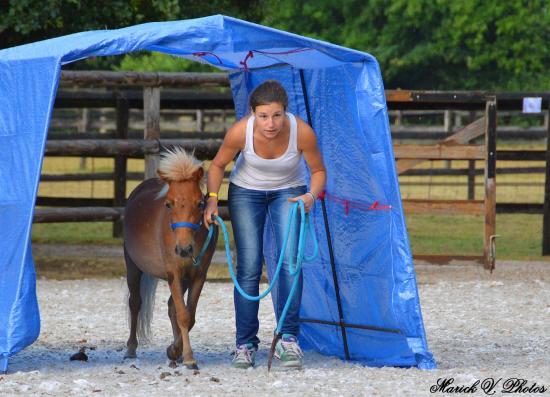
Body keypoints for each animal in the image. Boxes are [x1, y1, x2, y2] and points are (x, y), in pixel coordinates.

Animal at [124, 148, 219, 368]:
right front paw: (187, 356)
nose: (184, 249)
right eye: (168, 204)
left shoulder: (198, 275)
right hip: (133, 266)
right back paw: (131, 349)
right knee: (135, 303)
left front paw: (177, 351)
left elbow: (188, 315)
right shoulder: (173, 273)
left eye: (200, 203)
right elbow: (183, 315)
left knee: (171, 307)